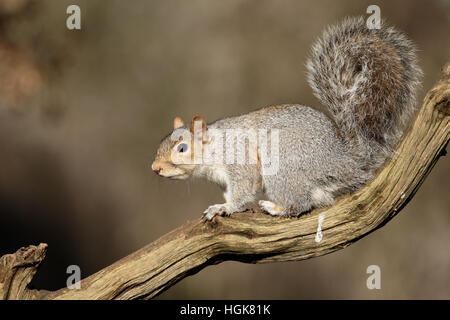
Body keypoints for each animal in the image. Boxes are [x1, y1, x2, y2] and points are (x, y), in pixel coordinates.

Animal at [150, 16, 422, 220]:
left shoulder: (240, 161)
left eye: (182, 148)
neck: (215, 147)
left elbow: (243, 191)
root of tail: (343, 161)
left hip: (283, 164)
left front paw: (224, 208)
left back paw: (275, 208)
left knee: (300, 203)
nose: (155, 168)